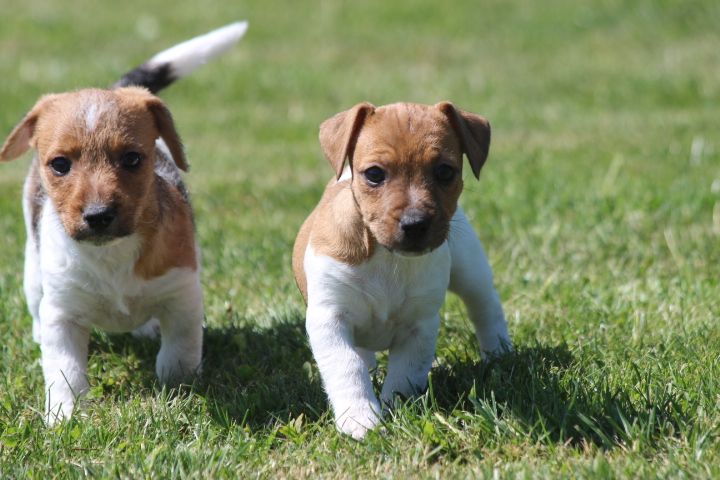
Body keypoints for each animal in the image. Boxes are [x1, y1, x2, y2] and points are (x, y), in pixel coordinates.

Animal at [0, 22, 247, 424]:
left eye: (132, 159)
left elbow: (180, 350)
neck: (111, 255)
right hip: (33, 271)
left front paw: (178, 387)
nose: (98, 215)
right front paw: (64, 416)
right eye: (60, 164)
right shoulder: (63, 315)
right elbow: (65, 370)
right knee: (36, 303)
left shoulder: (182, 295)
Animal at [292, 101, 511, 439]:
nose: (415, 223)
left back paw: (499, 352)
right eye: (374, 174)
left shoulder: (419, 326)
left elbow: (405, 375)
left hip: (470, 270)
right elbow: (347, 366)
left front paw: (396, 410)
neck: (387, 257)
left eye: (445, 171)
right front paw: (360, 418)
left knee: (485, 307)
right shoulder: (329, 318)